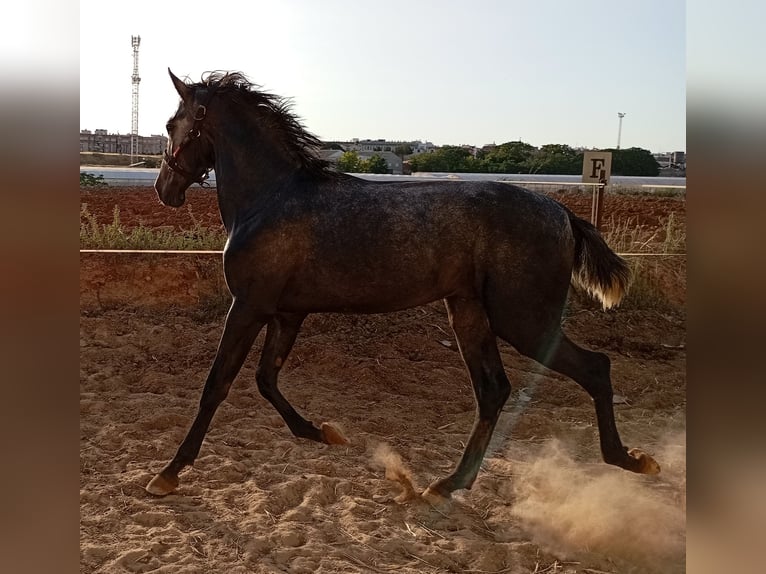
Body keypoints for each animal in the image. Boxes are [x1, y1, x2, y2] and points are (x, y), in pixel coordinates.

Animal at [147, 66, 664, 500]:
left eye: (172, 125)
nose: (163, 189)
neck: (271, 198)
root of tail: (563, 214)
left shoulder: (249, 307)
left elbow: (218, 384)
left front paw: (168, 473)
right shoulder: (288, 313)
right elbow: (265, 379)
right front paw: (322, 432)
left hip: (524, 321)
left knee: (594, 368)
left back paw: (631, 460)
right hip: (469, 314)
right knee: (494, 390)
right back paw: (451, 482)